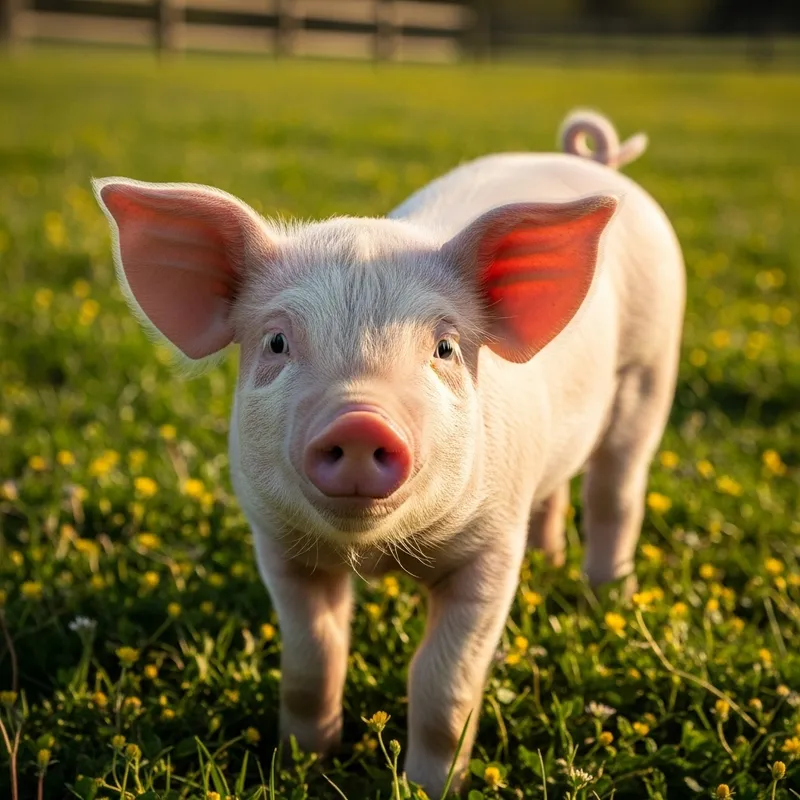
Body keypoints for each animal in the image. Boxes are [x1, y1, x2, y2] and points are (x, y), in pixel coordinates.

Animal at [93, 108, 684, 795]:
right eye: (276, 342)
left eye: (445, 348)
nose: (360, 419)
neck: (374, 553)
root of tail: (597, 164)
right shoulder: (279, 544)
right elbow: (311, 661)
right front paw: (303, 765)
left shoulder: (488, 548)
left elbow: (442, 684)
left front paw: (430, 788)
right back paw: (551, 559)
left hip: (651, 370)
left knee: (616, 489)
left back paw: (605, 595)